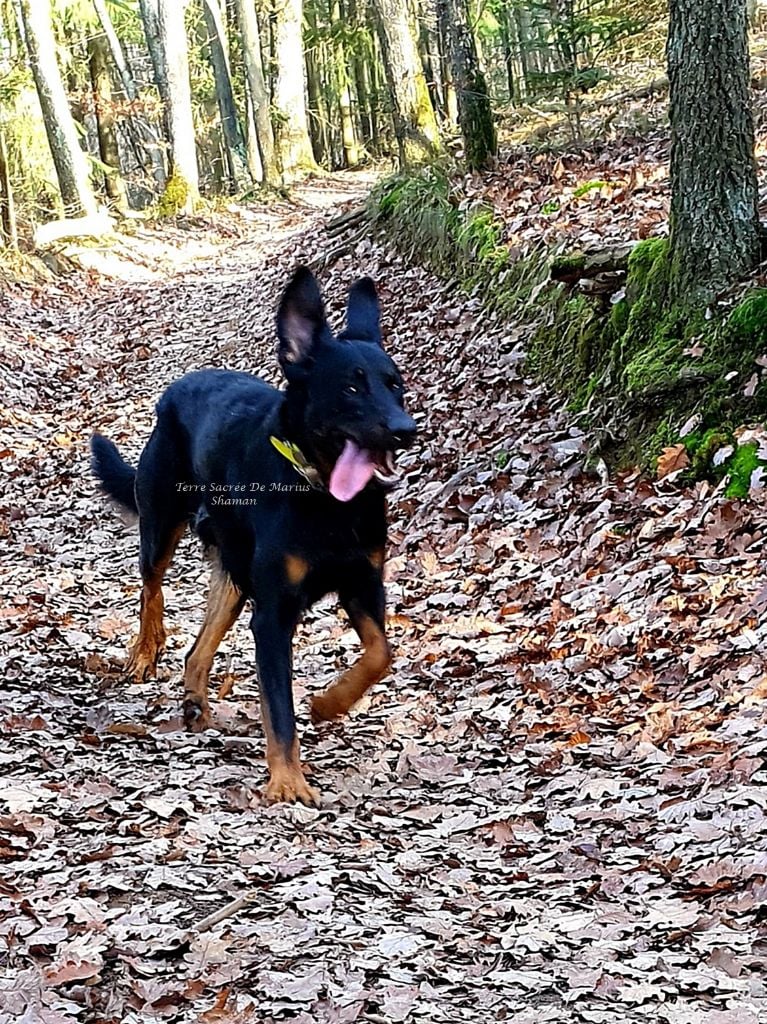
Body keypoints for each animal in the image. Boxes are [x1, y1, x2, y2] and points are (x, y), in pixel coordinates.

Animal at [92, 268, 415, 802]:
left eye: (396, 386)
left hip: (236, 577)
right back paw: (145, 651)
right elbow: (279, 709)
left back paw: (195, 701)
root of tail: (184, 383)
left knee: (197, 649)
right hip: (161, 525)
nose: (405, 429)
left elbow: (380, 654)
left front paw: (329, 703)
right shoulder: (274, 614)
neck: (324, 497)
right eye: (351, 388)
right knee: (150, 587)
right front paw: (287, 782)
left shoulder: (363, 583)